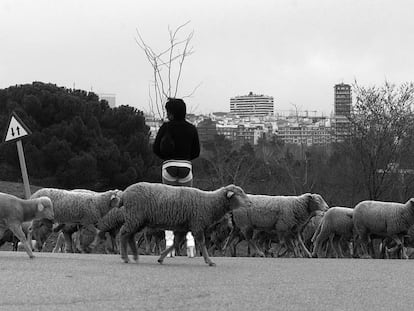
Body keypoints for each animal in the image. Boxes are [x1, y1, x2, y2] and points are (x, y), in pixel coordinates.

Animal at [118, 183, 251, 268]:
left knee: (130, 236)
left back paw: (135, 256)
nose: (250, 203)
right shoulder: (197, 225)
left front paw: (161, 257)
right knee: (124, 233)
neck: (209, 203)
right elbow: (202, 243)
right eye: (238, 194)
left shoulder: (183, 228)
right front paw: (209, 261)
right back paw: (125, 257)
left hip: (137, 219)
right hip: (135, 216)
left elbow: (176, 243)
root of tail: (124, 194)